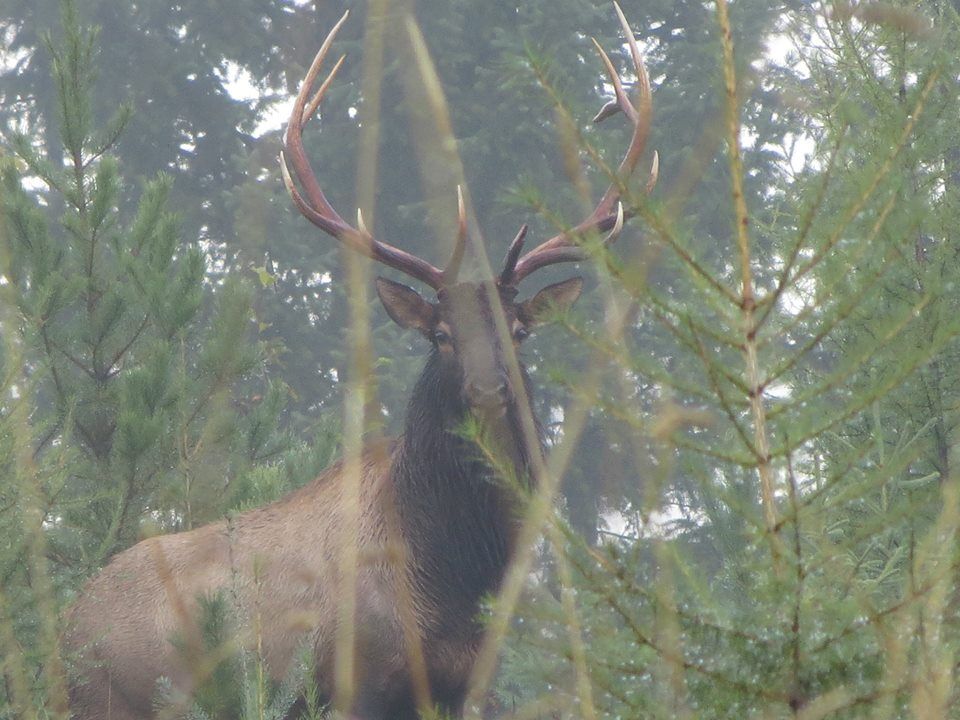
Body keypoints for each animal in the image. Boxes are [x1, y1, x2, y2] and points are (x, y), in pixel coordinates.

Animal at [63, 5, 656, 719]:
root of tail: (66, 627)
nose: (490, 389)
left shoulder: (467, 681)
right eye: (440, 334)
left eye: (519, 331)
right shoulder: (357, 677)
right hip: (107, 698)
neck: (455, 576)